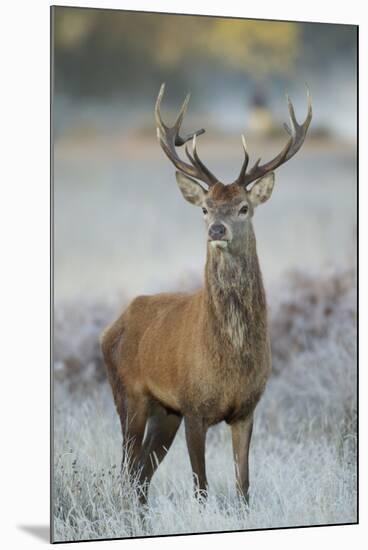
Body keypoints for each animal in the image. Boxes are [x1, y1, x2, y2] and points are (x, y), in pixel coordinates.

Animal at [100, 84, 310, 506]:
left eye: (243, 207)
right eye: (204, 208)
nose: (216, 229)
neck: (229, 361)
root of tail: (112, 326)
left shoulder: (246, 409)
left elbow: (244, 486)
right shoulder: (194, 407)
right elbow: (201, 487)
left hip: (165, 412)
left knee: (141, 474)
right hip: (128, 393)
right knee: (127, 470)